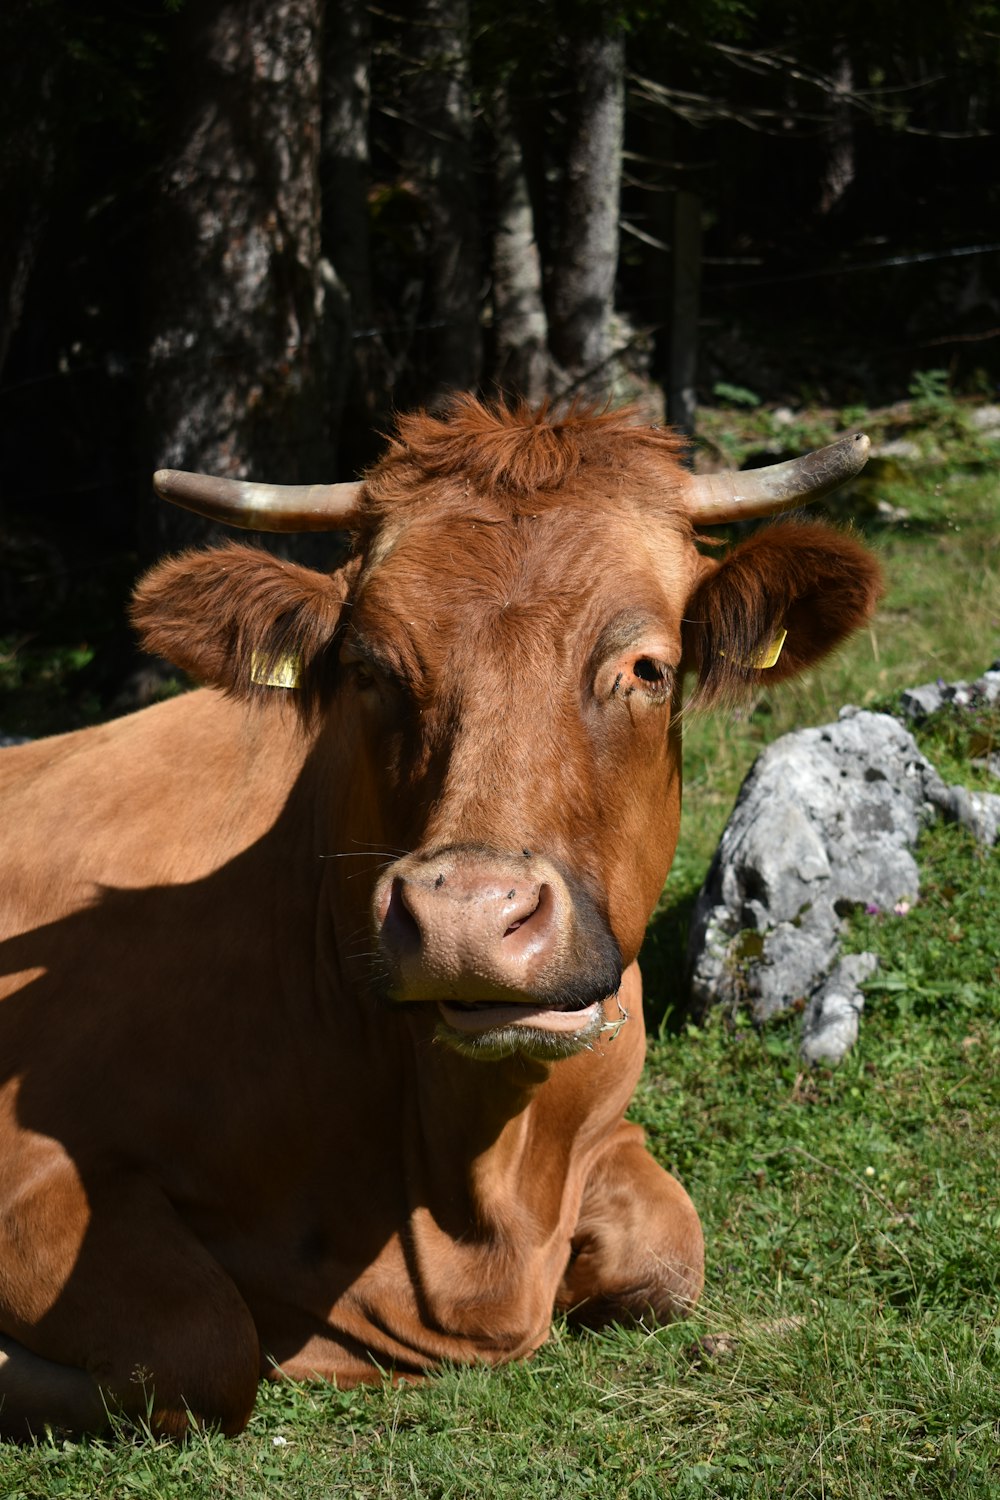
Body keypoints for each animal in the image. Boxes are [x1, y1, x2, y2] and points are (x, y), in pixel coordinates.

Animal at [0, 399, 881, 1440]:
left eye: (647, 667)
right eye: (368, 670)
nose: (468, 919)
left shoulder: (606, 1118)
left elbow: (668, 1259)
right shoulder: (35, 1172)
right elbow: (203, 1348)